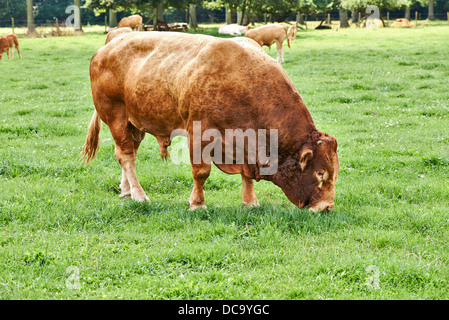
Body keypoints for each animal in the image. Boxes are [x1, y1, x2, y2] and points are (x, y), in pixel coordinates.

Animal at [81, 31, 340, 212]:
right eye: (320, 173)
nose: (326, 207)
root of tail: (109, 45)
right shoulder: (199, 134)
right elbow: (201, 172)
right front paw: (197, 204)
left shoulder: (246, 146)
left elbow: (246, 175)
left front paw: (250, 202)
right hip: (116, 116)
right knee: (126, 156)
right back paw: (139, 194)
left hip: (135, 123)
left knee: (128, 154)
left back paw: (126, 190)